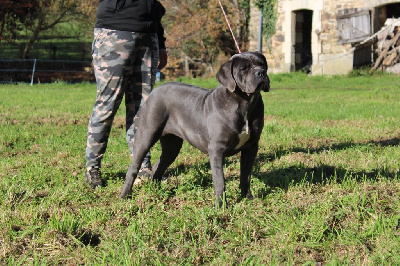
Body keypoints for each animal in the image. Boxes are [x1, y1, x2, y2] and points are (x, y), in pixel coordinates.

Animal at [119, 51, 268, 206]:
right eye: (244, 68)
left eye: (263, 65)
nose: (261, 73)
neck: (244, 102)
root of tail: (154, 92)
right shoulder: (217, 149)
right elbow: (220, 180)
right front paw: (221, 205)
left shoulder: (251, 147)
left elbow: (246, 174)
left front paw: (248, 198)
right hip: (146, 136)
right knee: (133, 168)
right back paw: (125, 196)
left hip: (172, 146)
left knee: (159, 166)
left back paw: (157, 192)